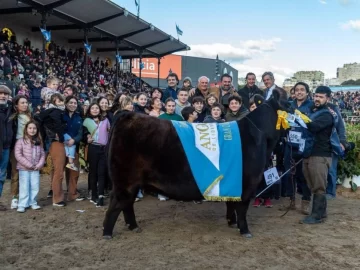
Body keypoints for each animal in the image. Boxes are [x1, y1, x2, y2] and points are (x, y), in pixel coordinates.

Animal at [102, 90, 286, 238]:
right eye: (289, 104)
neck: (258, 134)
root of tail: (128, 115)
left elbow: (231, 204)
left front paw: (231, 222)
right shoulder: (247, 183)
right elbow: (241, 208)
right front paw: (245, 230)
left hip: (131, 182)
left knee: (127, 204)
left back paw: (133, 226)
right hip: (124, 180)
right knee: (117, 204)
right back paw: (107, 233)